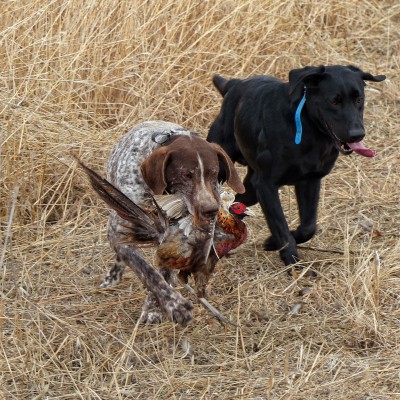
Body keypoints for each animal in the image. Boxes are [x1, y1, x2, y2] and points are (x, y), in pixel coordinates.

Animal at [101, 120, 244, 324]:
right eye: (186, 175)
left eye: (214, 174)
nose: (211, 210)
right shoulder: (119, 230)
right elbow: (148, 272)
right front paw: (173, 305)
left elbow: (164, 274)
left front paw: (154, 308)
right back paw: (113, 275)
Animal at [207, 65, 386, 269]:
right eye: (334, 101)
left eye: (359, 99)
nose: (357, 134)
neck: (308, 131)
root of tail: (233, 84)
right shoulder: (266, 185)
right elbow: (280, 226)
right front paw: (293, 262)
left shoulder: (310, 181)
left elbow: (309, 226)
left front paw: (272, 242)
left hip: (251, 189)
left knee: (236, 203)